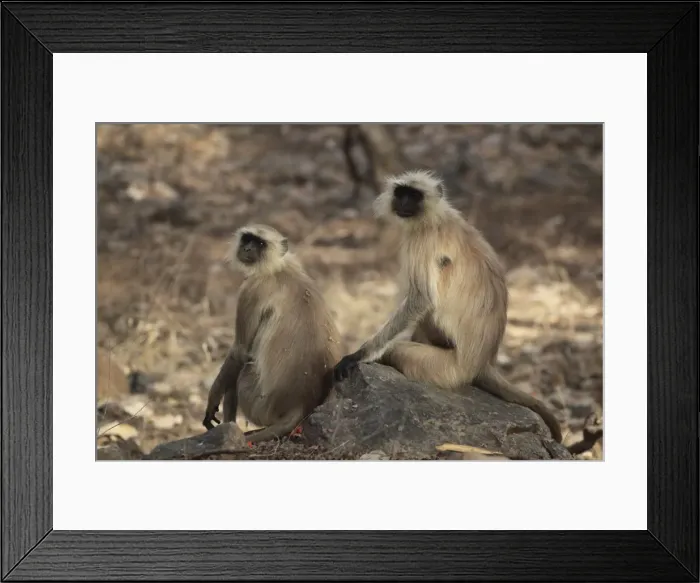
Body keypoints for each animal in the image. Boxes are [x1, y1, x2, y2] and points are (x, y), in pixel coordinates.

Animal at [203, 224, 342, 444]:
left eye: (260, 243)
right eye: (247, 239)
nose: (248, 249)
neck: (277, 268)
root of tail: (300, 403)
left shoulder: (251, 289)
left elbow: (239, 352)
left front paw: (212, 401)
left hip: (256, 401)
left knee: (239, 371)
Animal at [333, 169, 563, 443]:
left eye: (414, 196)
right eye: (402, 193)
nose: (404, 203)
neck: (437, 217)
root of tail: (482, 363)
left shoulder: (422, 241)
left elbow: (420, 298)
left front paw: (359, 354)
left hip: (448, 369)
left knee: (400, 348)